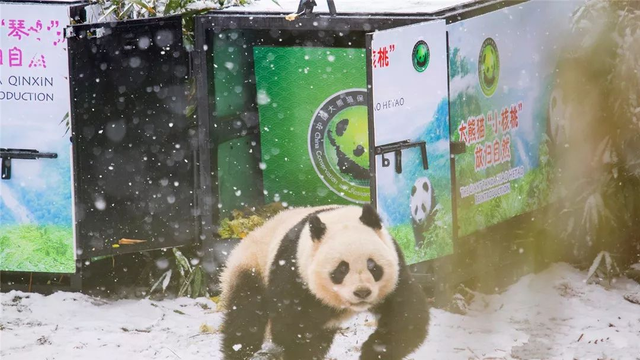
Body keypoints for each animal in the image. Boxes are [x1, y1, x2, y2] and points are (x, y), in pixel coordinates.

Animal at [220, 204, 430, 358]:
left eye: (373, 266)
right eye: (342, 269)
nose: (362, 292)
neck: (339, 218)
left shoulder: (396, 269)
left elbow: (406, 316)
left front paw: (373, 351)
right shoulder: (293, 272)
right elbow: (294, 327)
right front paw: (303, 352)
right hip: (252, 265)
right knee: (245, 318)